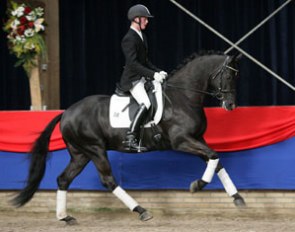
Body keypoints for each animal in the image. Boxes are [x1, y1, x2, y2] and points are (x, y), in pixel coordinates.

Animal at [12, 52, 245, 223]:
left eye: (236, 76)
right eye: (228, 76)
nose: (231, 105)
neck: (183, 97)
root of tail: (66, 112)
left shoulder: (197, 139)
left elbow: (216, 161)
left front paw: (237, 198)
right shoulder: (182, 141)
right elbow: (214, 156)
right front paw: (198, 185)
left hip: (80, 153)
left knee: (63, 179)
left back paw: (65, 217)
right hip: (95, 149)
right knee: (108, 180)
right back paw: (141, 210)